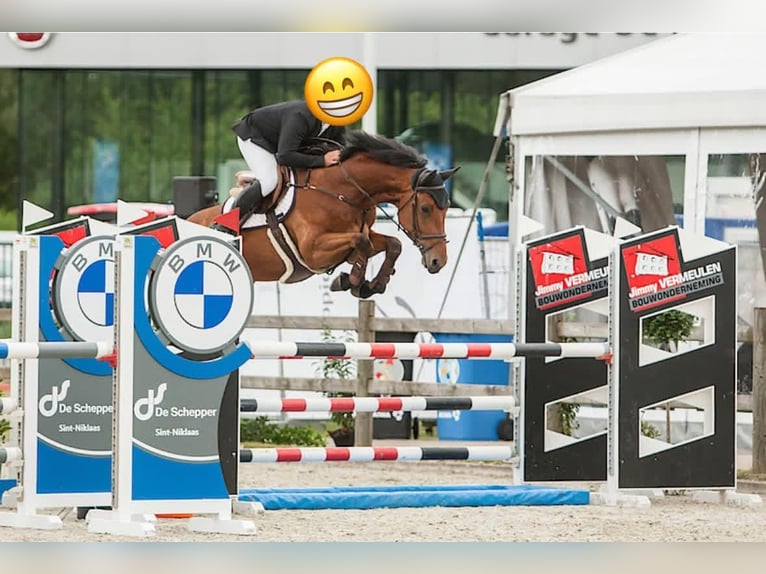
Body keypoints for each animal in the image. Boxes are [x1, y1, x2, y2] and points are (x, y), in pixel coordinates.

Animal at [187, 131, 459, 299]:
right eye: (425, 208)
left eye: (446, 208)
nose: (438, 261)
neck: (344, 191)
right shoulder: (313, 250)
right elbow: (362, 242)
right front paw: (352, 281)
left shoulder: (360, 234)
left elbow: (392, 244)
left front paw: (372, 285)